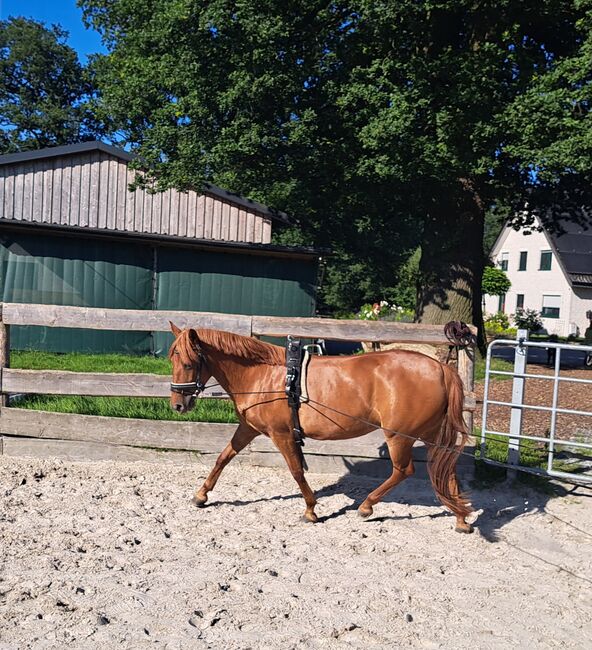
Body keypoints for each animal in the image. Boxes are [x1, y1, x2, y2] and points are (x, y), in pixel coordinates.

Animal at [169, 324, 474, 532]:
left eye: (188, 362)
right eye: (172, 360)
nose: (178, 405)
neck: (263, 375)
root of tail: (441, 368)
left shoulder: (281, 434)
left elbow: (296, 471)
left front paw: (311, 510)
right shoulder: (248, 428)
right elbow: (223, 458)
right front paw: (201, 495)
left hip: (399, 435)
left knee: (404, 470)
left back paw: (366, 506)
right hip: (432, 435)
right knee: (446, 469)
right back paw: (461, 518)